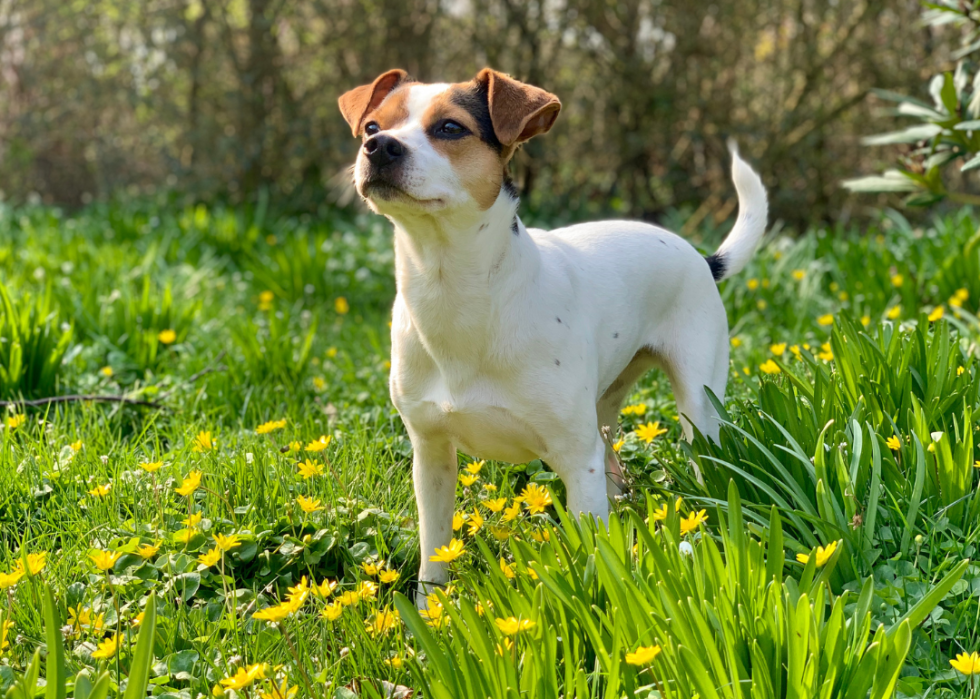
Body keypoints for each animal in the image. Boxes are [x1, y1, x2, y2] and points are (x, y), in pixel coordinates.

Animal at [340, 67, 768, 600]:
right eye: (373, 126)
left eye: (450, 128)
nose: (379, 147)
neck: (454, 290)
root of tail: (701, 257)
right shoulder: (431, 457)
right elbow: (433, 558)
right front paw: (430, 612)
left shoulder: (575, 460)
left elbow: (590, 555)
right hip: (604, 410)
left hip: (698, 409)